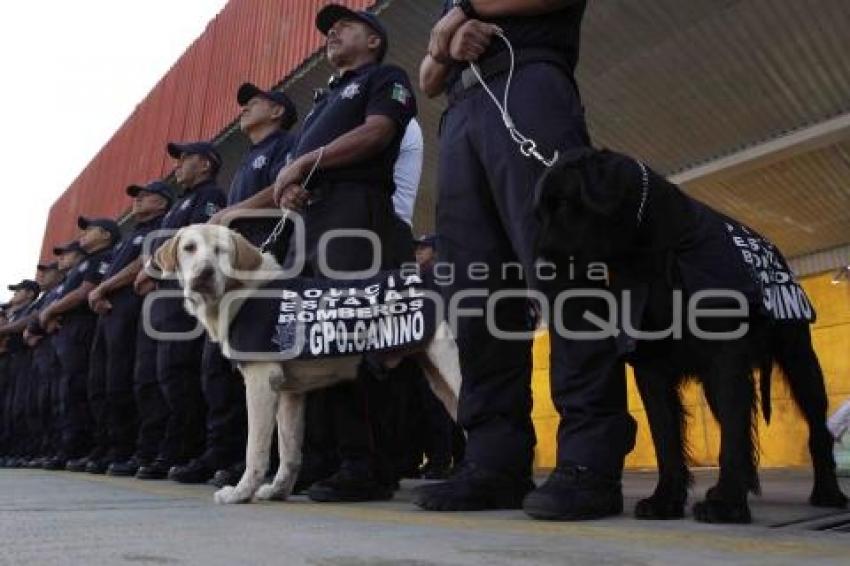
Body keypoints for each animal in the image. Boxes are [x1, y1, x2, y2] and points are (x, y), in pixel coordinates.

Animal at [152, 226, 458, 506]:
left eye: (221, 251)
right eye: (189, 248)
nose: (204, 273)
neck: (244, 292)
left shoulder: (260, 383)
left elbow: (255, 449)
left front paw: (241, 493)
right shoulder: (290, 393)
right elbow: (289, 453)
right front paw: (278, 491)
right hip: (439, 381)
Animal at [532, 148, 844, 524]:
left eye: (563, 202)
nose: (538, 268)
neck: (653, 253)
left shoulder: (727, 360)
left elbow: (732, 438)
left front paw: (727, 503)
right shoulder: (651, 369)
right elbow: (668, 440)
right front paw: (665, 499)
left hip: (800, 362)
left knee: (816, 431)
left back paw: (828, 492)